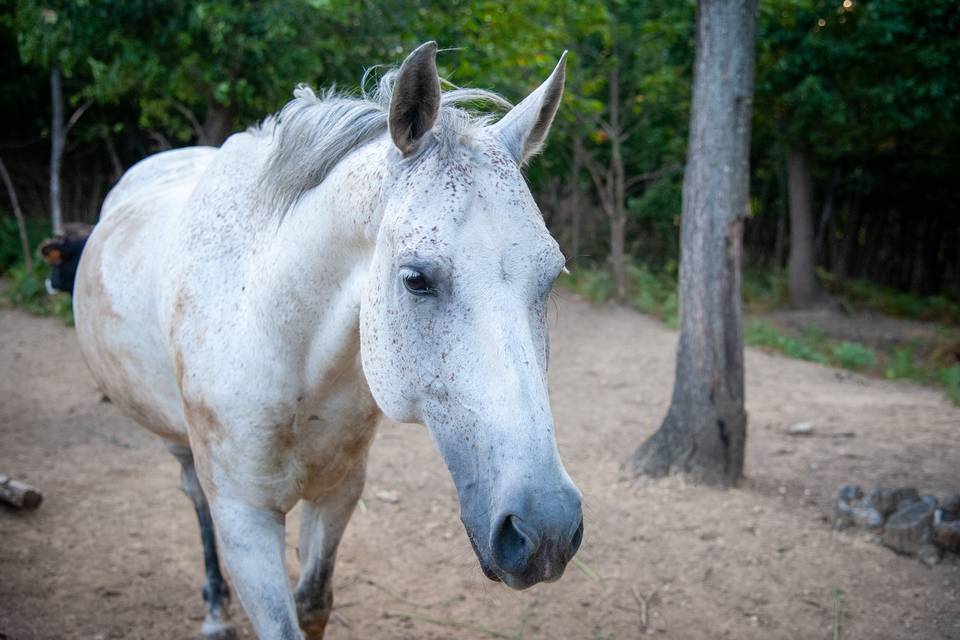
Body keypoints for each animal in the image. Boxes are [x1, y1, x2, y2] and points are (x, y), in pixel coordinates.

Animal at [75, 42, 580, 636]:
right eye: (416, 279)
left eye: (551, 276)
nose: (545, 531)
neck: (273, 335)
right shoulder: (245, 519)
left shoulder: (339, 492)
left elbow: (314, 602)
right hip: (181, 448)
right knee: (194, 501)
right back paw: (215, 608)